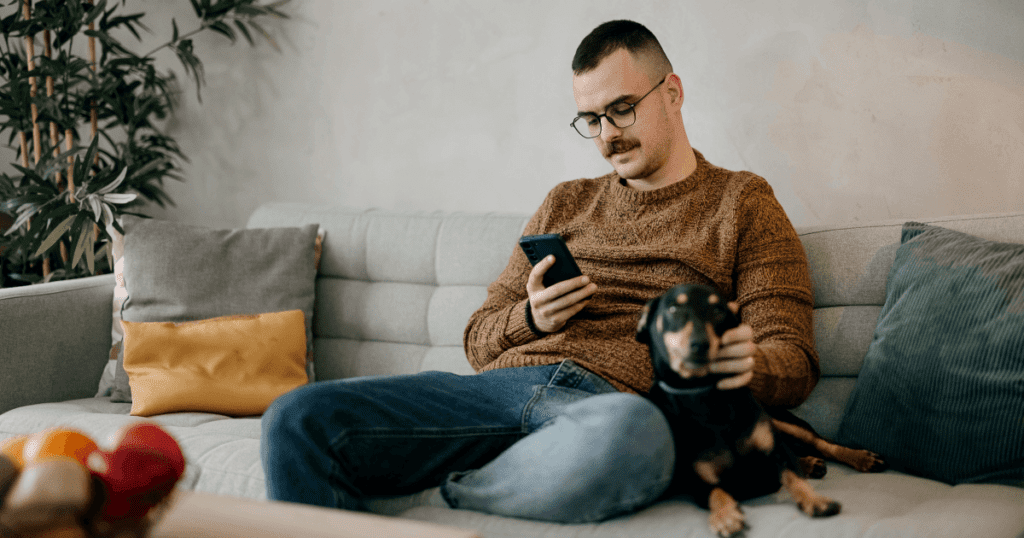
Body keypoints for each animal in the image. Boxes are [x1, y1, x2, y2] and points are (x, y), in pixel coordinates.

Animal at [634, 282, 884, 532]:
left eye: (718, 310)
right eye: (673, 309)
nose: (700, 345)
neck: (705, 394)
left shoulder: (777, 453)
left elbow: (795, 477)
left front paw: (816, 500)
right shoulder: (700, 481)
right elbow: (717, 494)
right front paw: (725, 517)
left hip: (782, 421)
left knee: (821, 443)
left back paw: (860, 458)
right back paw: (811, 463)